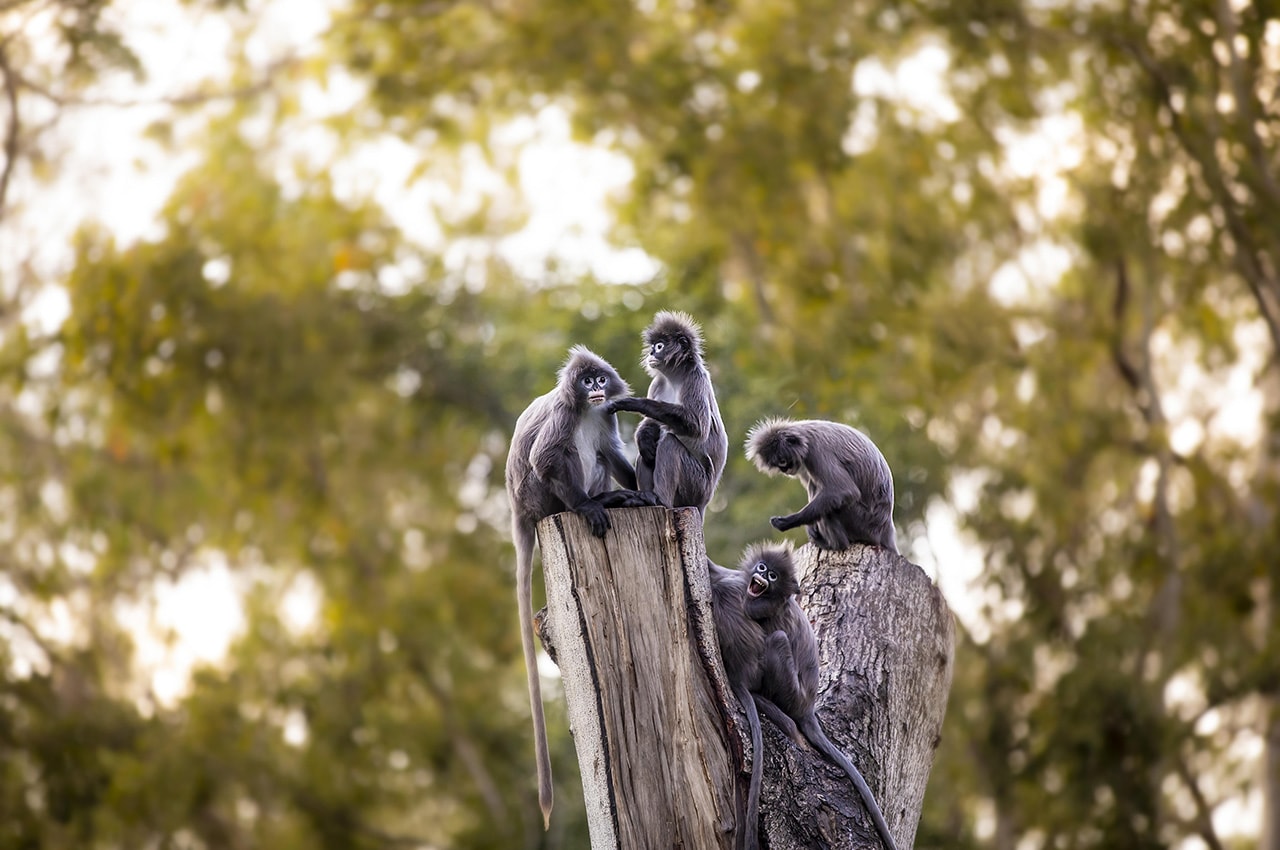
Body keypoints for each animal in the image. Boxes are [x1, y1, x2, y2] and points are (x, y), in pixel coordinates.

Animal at [505, 345, 658, 828]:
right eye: (585, 380)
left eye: (599, 380)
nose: (594, 388)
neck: (586, 408)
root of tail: (520, 511)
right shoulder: (563, 416)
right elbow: (546, 459)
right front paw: (592, 507)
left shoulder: (605, 417)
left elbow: (612, 452)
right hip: (541, 497)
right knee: (563, 458)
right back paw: (597, 502)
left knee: (601, 457)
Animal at [606, 311, 728, 516]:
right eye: (653, 346)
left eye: (659, 346)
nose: (651, 353)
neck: (674, 378)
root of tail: (703, 504)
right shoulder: (657, 383)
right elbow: (651, 425)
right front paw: (643, 437)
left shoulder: (694, 378)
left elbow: (697, 427)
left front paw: (635, 403)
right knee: (647, 454)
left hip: (695, 485)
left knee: (670, 444)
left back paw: (659, 499)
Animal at [742, 542, 899, 850]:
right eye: (763, 567)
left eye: (773, 576)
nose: (761, 575)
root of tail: (807, 707)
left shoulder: (764, 606)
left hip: (789, 689)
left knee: (777, 639)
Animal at [745, 418, 898, 553]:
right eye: (778, 464)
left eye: (782, 461)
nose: (785, 470)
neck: (804, 435)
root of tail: (886, 527)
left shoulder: (816, 451)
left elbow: (843, 491)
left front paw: (787, 521)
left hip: (862, 523)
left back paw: (836, 544)